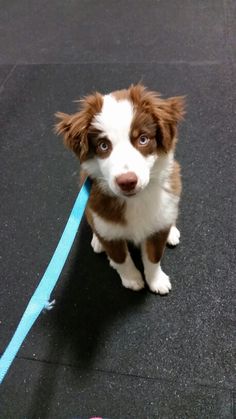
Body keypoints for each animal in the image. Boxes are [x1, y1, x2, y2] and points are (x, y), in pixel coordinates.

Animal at [55, 84, 184, 296]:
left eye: (143, 139)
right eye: (103, 145)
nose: (127, 182)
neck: (135, 200)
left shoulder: (157, 227)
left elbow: (153, 256)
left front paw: (156, 280)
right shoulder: (108, 229)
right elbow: (121, 259)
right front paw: (132, 279)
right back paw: (97, 242)